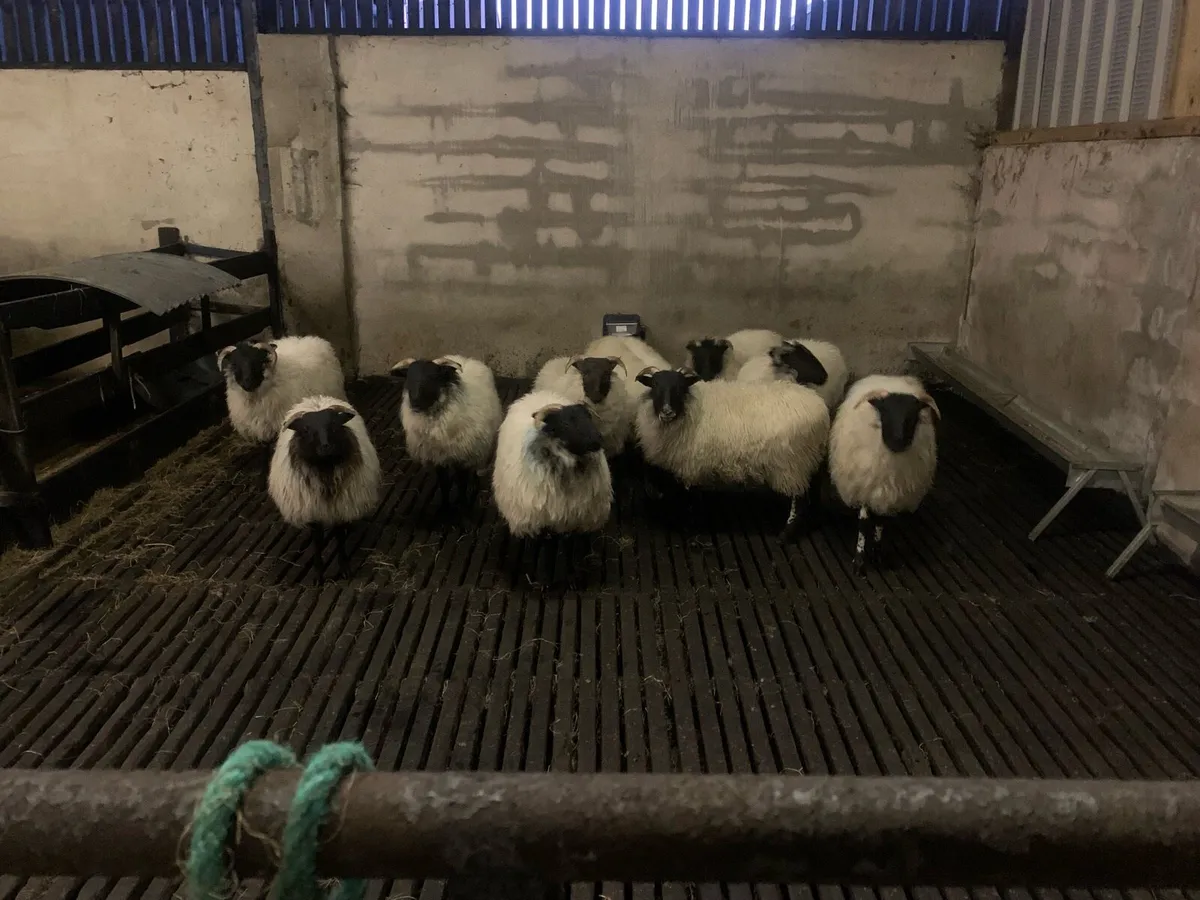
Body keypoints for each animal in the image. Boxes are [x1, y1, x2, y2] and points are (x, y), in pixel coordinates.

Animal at [268, 395, 381, 582]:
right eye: (306, 429)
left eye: (334, 425)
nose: (325, 446)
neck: (325, 470)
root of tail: (317, 398)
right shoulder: (314, 508)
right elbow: (317, 540)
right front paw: (318, 572)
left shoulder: (340, 506)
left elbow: (339, 536)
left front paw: (344, 567)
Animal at [389, 355, 503, 508]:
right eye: (408, 377)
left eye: (433, 377)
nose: (415, 402)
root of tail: (465, 358)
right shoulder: (438, 457)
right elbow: (443, 484)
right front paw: (445, 506)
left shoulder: (462, 456)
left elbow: (461, 485)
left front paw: (463, 504)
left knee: (474, 466)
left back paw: (473, 485)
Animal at [492, 389, 612, 539]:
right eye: (566, 423)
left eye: (588, 418)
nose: (598, 440)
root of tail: (537, 394)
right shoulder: (529, 523)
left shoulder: (572, 521)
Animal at [634, 367, 830, 537]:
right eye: (655, 385)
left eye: (681, 387)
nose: (667, 411)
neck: (690, 408)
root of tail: (821, 409)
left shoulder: (691, 465)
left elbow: (690, 498)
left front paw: (691, 525)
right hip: (812, 460)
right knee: (815, 493)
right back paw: (815, 522)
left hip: (794, 466)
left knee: (799, 501)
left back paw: (786, 535)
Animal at [828, 374, 940, 574]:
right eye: (885, 412)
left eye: (911, 416)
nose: (898, 440)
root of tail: (890, 378)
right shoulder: (865, 488)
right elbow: (864, 525)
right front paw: (859, 562)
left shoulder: (890, 495)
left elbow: (882, 522)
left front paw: (877, 554)